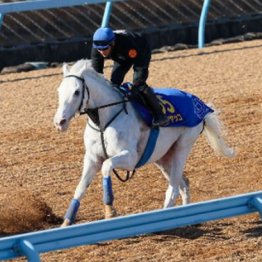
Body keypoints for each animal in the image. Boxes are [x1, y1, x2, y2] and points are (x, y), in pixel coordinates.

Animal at [53, 59, 235, 227]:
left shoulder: (130, 158)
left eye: (77, 92)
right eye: (59, 90)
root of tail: (201, 106)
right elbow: (80, 187)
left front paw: (110, 210)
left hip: (182, 148)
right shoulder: (92, 158)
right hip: (162, 158)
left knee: (173, 189)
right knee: (183, 184)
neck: (105, 120)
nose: (59, 122)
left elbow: (106, 166)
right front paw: (67, 221)